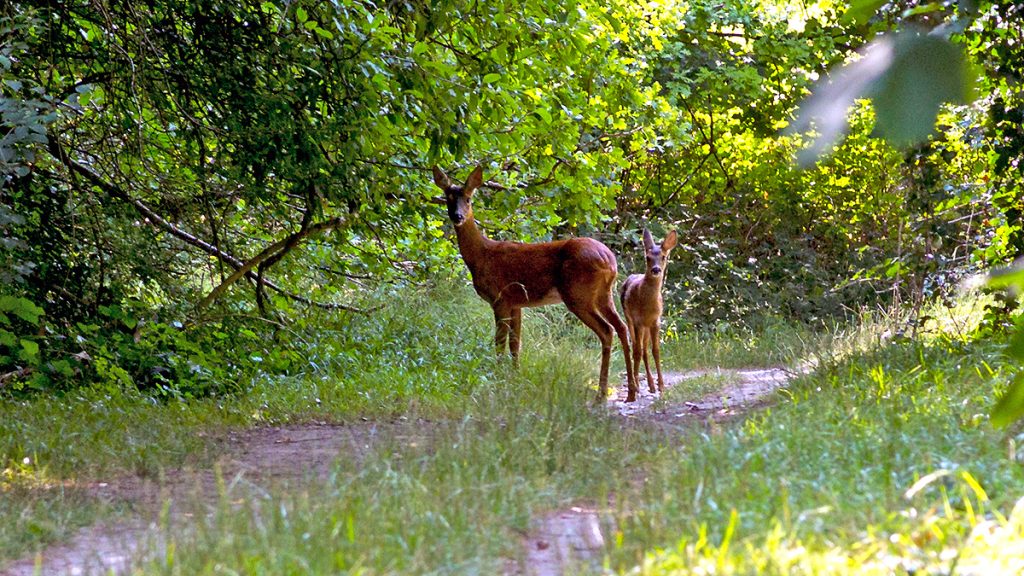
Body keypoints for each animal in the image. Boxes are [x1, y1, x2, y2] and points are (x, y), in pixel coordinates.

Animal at [431, 165, 639, 402]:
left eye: (468, 198)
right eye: (448, 198)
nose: (457, 216)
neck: (481, 255)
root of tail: (610, 261)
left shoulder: (500, 298)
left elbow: (500, 342)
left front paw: (498, 377)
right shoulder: (516, 303)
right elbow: (515, 343)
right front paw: (515, 377)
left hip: (578, 295)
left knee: (607, 331)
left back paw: (602, 393)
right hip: (604, 294)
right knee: (622, 327)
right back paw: (631, 392)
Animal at [621, 229, 678, 395]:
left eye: (664, 257)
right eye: (648, 257)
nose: (656, 269)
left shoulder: (655, 321)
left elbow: (656, 351)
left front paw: (661, 385)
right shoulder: (638, 321)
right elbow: (637, 351)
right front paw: (636, 386)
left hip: (646, 327)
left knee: (645, 350)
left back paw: (651, 385)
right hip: (629, 319)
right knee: (636, 348)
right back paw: (638, 384)